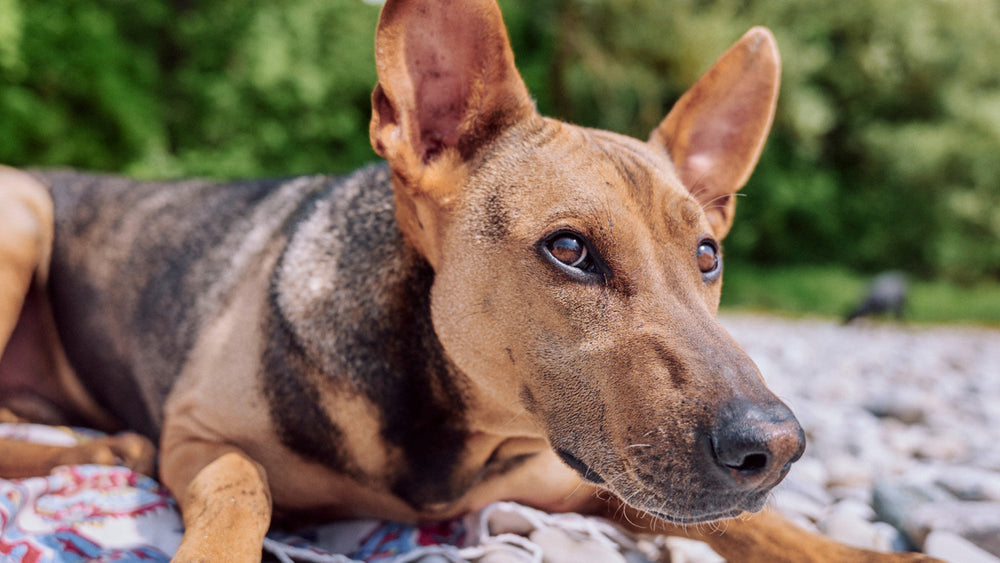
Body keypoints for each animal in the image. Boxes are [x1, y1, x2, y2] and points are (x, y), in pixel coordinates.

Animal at [0, 1, 938, 561]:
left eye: (707, 256)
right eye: (570, 248)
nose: (775, 447)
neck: (454, 421)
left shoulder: (600, 483)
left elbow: (777, 526)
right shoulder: (198, 432)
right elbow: (242, 485)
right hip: (25, 211)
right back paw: (103, 448)